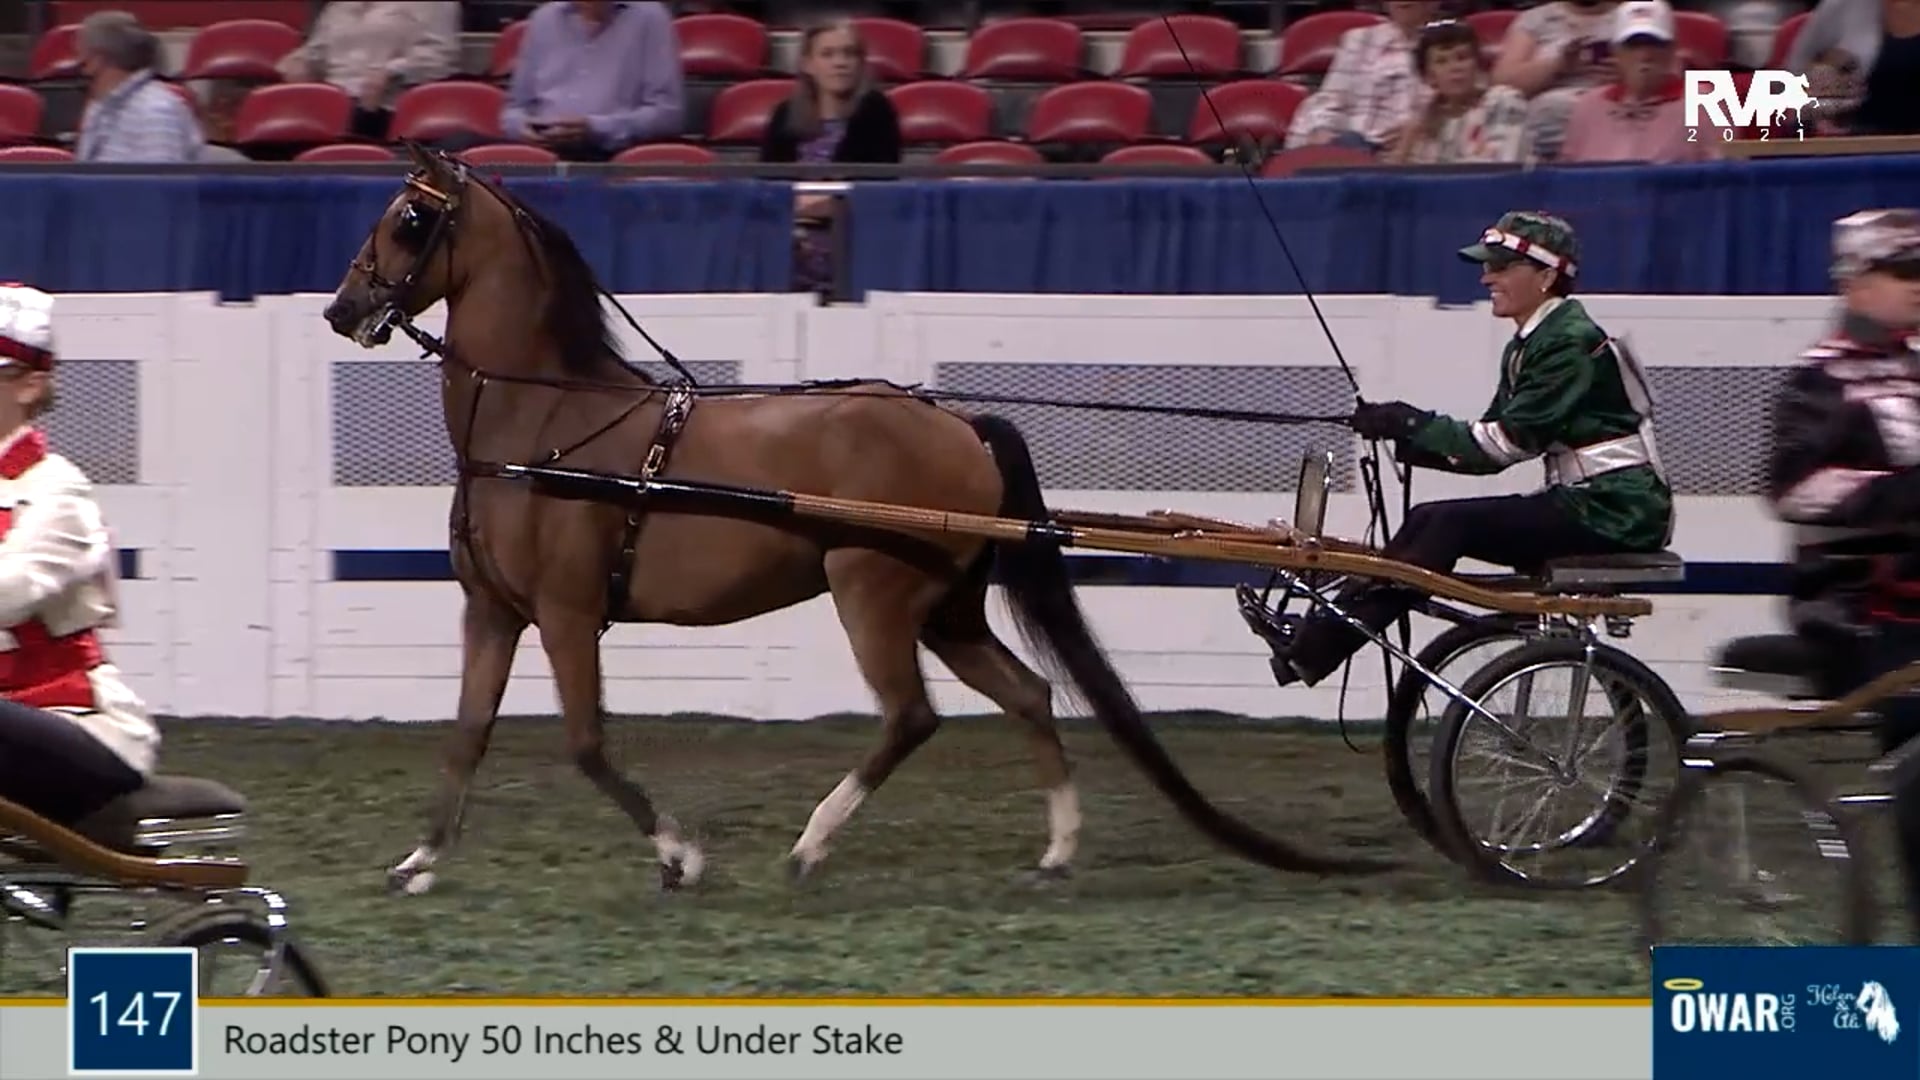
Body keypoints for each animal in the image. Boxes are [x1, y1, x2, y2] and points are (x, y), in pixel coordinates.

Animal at [321, 141, 1392, 896]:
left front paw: (679, 856)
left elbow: (584, 743)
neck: (545, 425)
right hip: (947, 610)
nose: (341, 310)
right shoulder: (494, 611)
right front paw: (419, 861)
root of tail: (956, 422)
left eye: (410, 218)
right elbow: (466, 735)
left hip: (871, 594)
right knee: (1028, 695)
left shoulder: (569, 612)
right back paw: (1055, 851)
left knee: (911, 716)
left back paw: (812, 844)